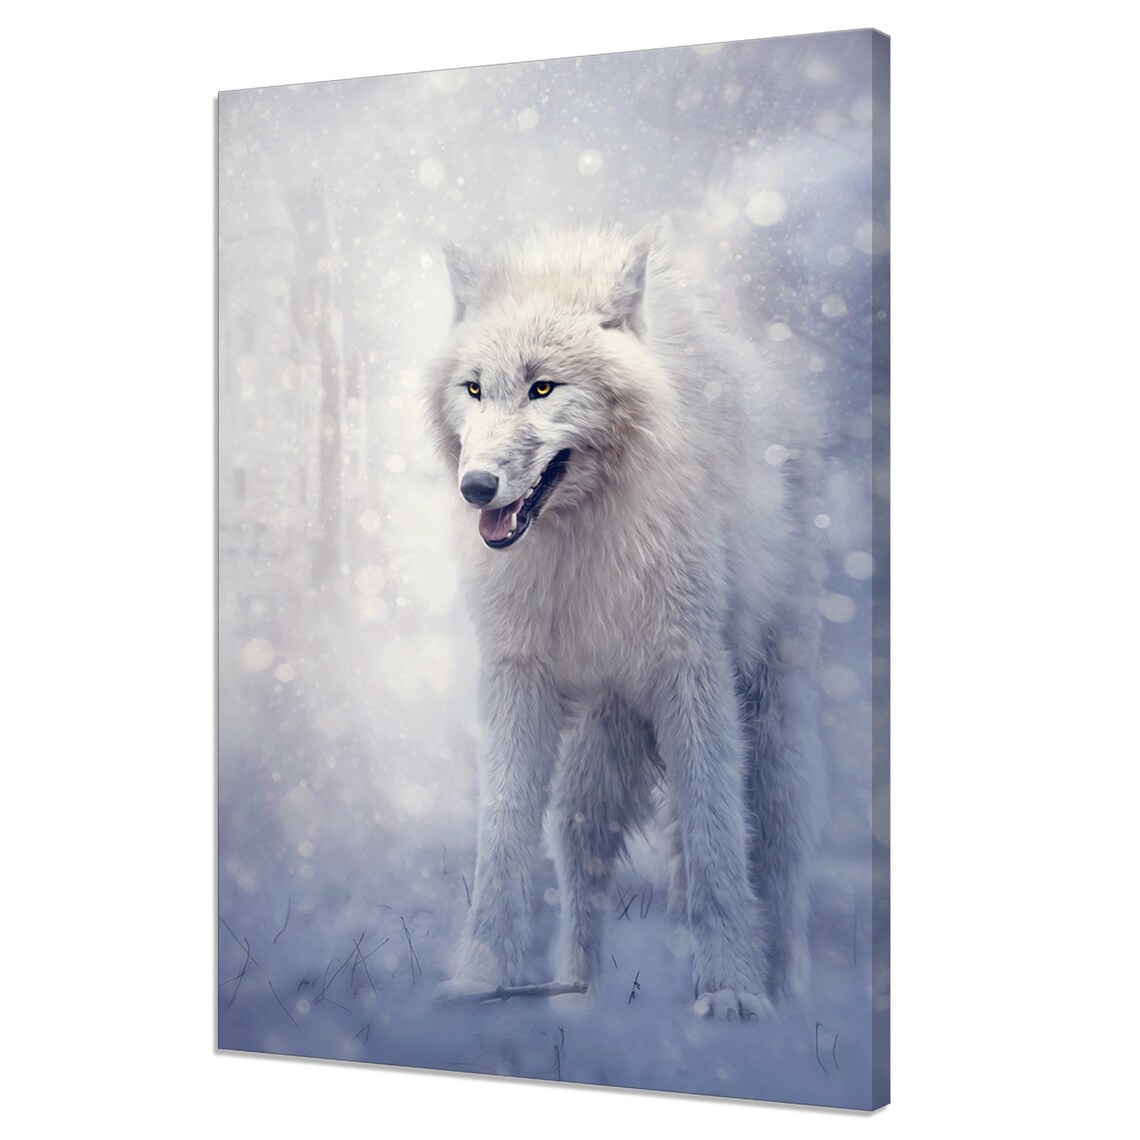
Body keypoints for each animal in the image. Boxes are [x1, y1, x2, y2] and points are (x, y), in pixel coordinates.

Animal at [425, 224, 824, 1019]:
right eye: (474, 388)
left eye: (543, 387)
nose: (475, 487)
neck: (581, 541)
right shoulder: (516, 678)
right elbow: (502, 836)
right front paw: (479, 981)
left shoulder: (692, 672)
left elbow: (714, 838)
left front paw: (733, 994)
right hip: (598, 742)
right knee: (583, 854)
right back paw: (576, 996)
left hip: (769, 723)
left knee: (780, 848)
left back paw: (792, 993)